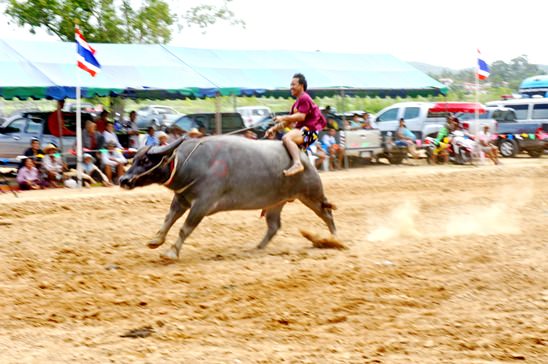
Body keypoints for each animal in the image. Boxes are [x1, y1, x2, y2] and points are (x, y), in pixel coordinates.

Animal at [117, 135, 336, 260]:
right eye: (134, 159)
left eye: (146, 160)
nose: (123, 179)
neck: (191, 165)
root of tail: (304, 157)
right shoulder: (181, 199)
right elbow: (168, 219)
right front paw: (155, 240)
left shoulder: (202, 204)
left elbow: (184, 228)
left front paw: (171, 252)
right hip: (276, 202)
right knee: (274, 226)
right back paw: (257, 248)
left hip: (311, 194)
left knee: (326, 213)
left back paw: (333, 239)